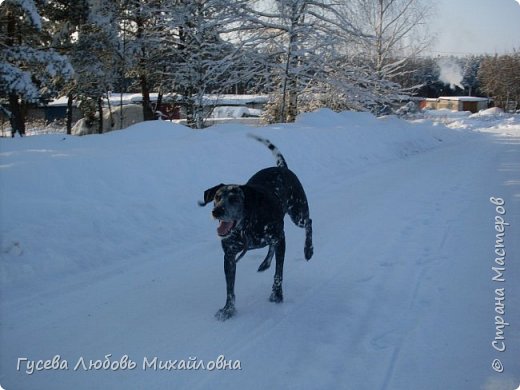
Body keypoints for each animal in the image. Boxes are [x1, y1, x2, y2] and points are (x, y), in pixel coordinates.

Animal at [199, 134, 312, 320]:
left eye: (234, 199)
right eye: (217, 197)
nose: (216, 211)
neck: (246, 227)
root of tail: (282, 167)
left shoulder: (280, 239)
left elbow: (278, 274)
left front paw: (277, 295)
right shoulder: (229, 257)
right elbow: (230, 289)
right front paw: (228, 309)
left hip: (298, 214)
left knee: (309, 223)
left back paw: (308, 250)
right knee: (271, 246)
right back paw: (265, 263)